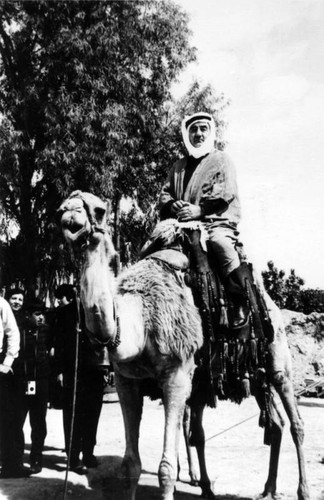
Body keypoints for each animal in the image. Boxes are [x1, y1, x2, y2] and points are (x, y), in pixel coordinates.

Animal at [58, 191, 202, 500]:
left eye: (100, 210)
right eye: (61, 208)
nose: (70, 212)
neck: (141, 322)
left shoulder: (176, 374)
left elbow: (164, 469)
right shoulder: (126, 379)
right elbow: (130, 465)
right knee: (184, 419)